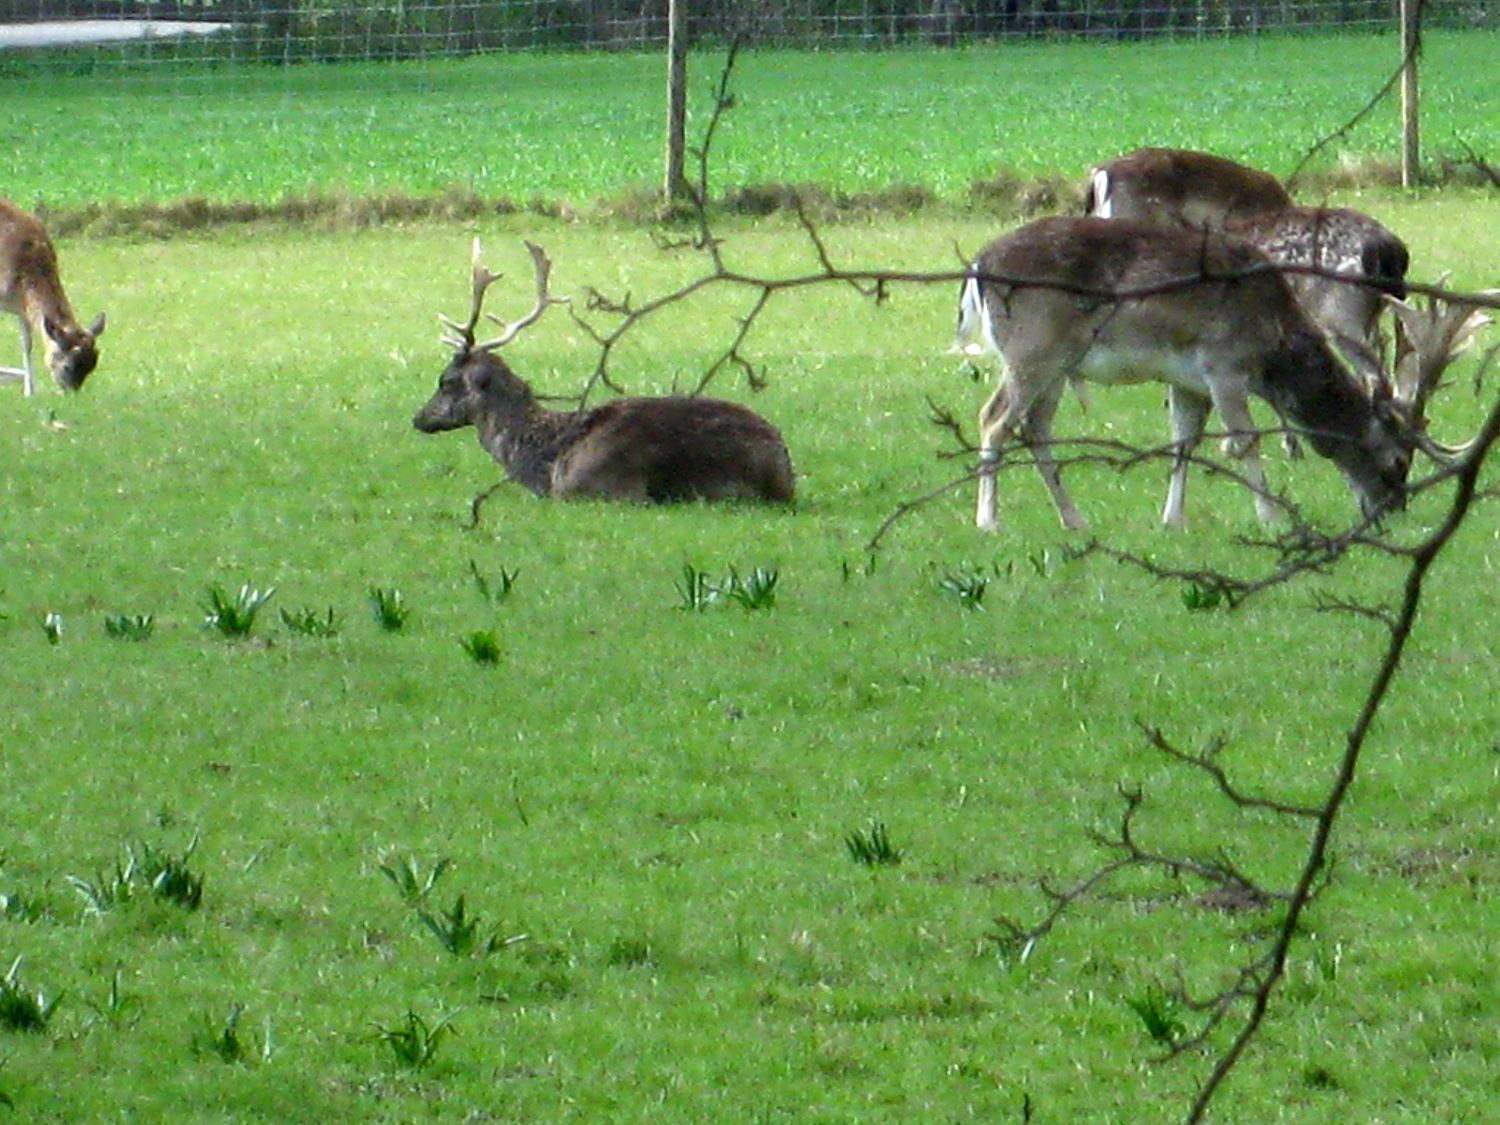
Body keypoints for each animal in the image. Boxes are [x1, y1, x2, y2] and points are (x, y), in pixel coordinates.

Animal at [0, 198, 105, 396]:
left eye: (93, 364)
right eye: (67, 366)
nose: (71, 393)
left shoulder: (21, 308)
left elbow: (26, 343)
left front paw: (30, 392)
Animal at [948, 220, 1476, 537]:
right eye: (1396, 462)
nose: (1392, 511)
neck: (1272, 343)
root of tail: (977, 266)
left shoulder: (1186, 380)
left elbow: (1184, 442)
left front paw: (1172, 519)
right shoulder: (1223, 366)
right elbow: (1246, 441)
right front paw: (1270, 518)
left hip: (1059, 365)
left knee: (1036, 428)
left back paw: (1074, 518)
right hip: (1033, 348)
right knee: (994, 419)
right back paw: (988, 521)